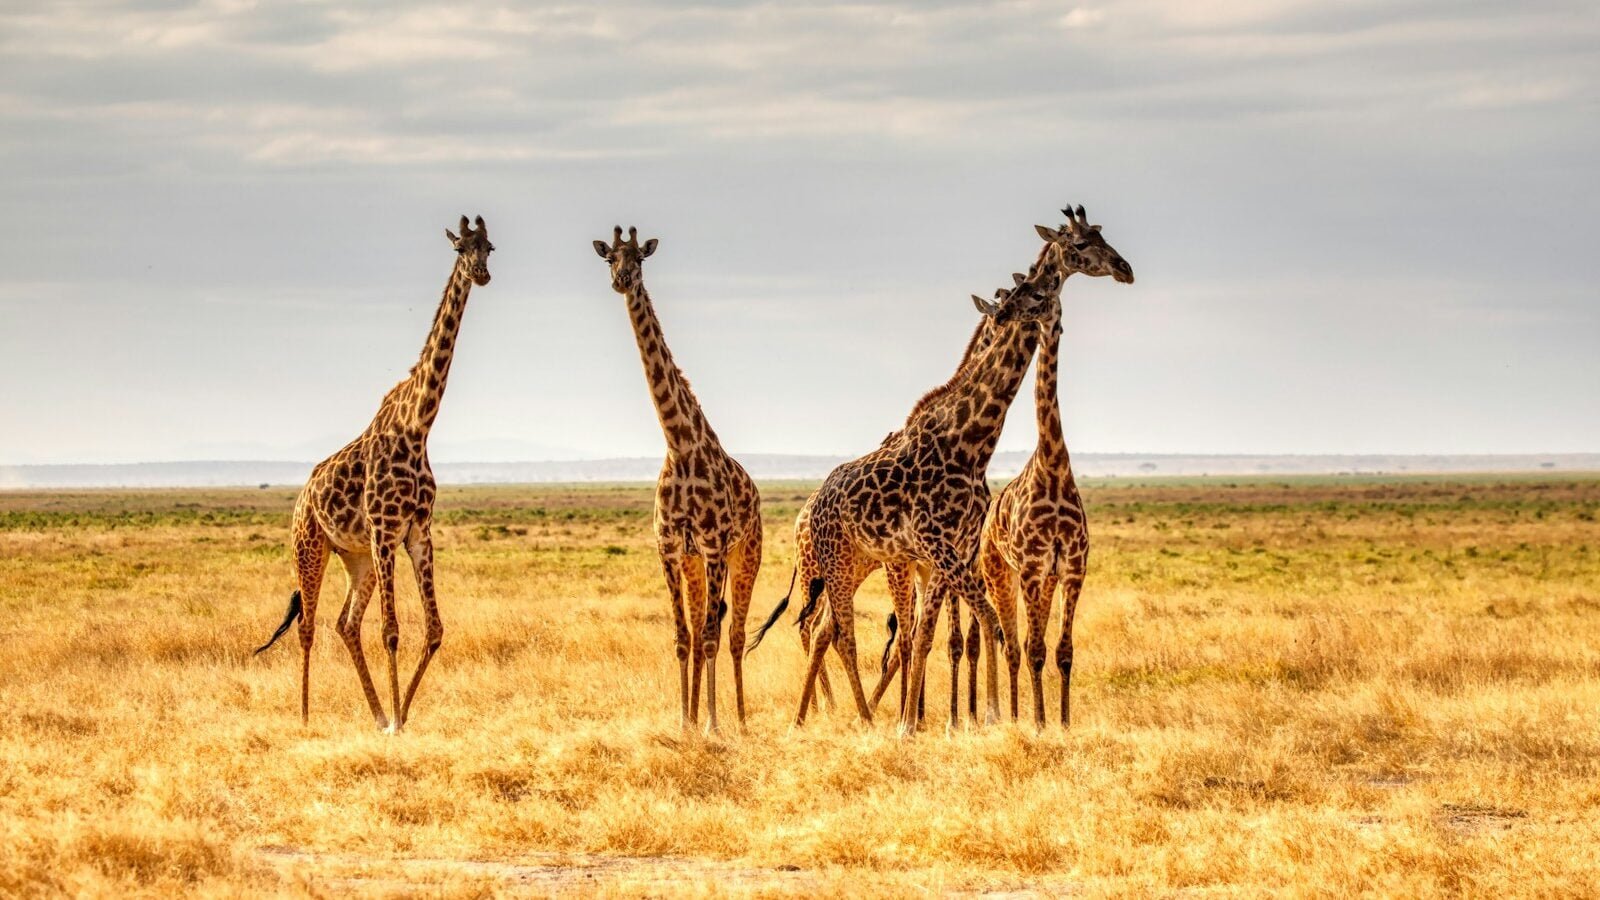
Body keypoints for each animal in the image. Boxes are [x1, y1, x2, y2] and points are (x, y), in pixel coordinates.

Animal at [252, 211, 492, 730]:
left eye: (490, 248)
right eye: (460, 248)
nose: (482, 274)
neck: (417, 426)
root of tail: (301, 496)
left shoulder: (417, 532)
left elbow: (434, 629)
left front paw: (399, 716)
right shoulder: (385, 530)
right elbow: (391, 630)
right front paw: (399, 722)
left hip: (355, 557)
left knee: (345, 623)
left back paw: (376, 713)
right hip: (311, 545)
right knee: (307, 625)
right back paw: (305, 717)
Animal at [595, 222, 761, 730]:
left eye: (640, 258)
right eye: (609, 257)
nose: (622, 280)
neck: (680, 446)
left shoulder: (713, 547)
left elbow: (709, 635)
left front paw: (711, 723)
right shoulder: (670, 548)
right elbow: (683, 636)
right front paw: (684, 721)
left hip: (746, 554)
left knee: (733, 633)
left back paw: (740, 719)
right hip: (695, 563)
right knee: (705, 624)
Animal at [790, 232, 1075, 736]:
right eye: (1027, 294)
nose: (1039, 315)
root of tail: (808, 511)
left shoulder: (949, 552)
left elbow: (935, 634)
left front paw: (941, 718)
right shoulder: (926, 553)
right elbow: (938, 632)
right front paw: (947, 719)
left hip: (853, 564)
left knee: (828, 629)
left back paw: (829, 715)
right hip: (832, 566)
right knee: (833, 631)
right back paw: (851, 716)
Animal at [972, 203, 1139, 720]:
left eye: (1038, 293)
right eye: (1080, 242)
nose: (1126, 269)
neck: (1053, 466)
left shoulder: (1071, 568)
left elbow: (1063, 651)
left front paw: (1062, 723)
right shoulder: (1030, 568)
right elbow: (1033, 649)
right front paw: (1040, 723)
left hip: (1036, 579)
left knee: (1022, 642)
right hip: (1000, 573)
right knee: (1010, 644)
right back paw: (1011, 714)